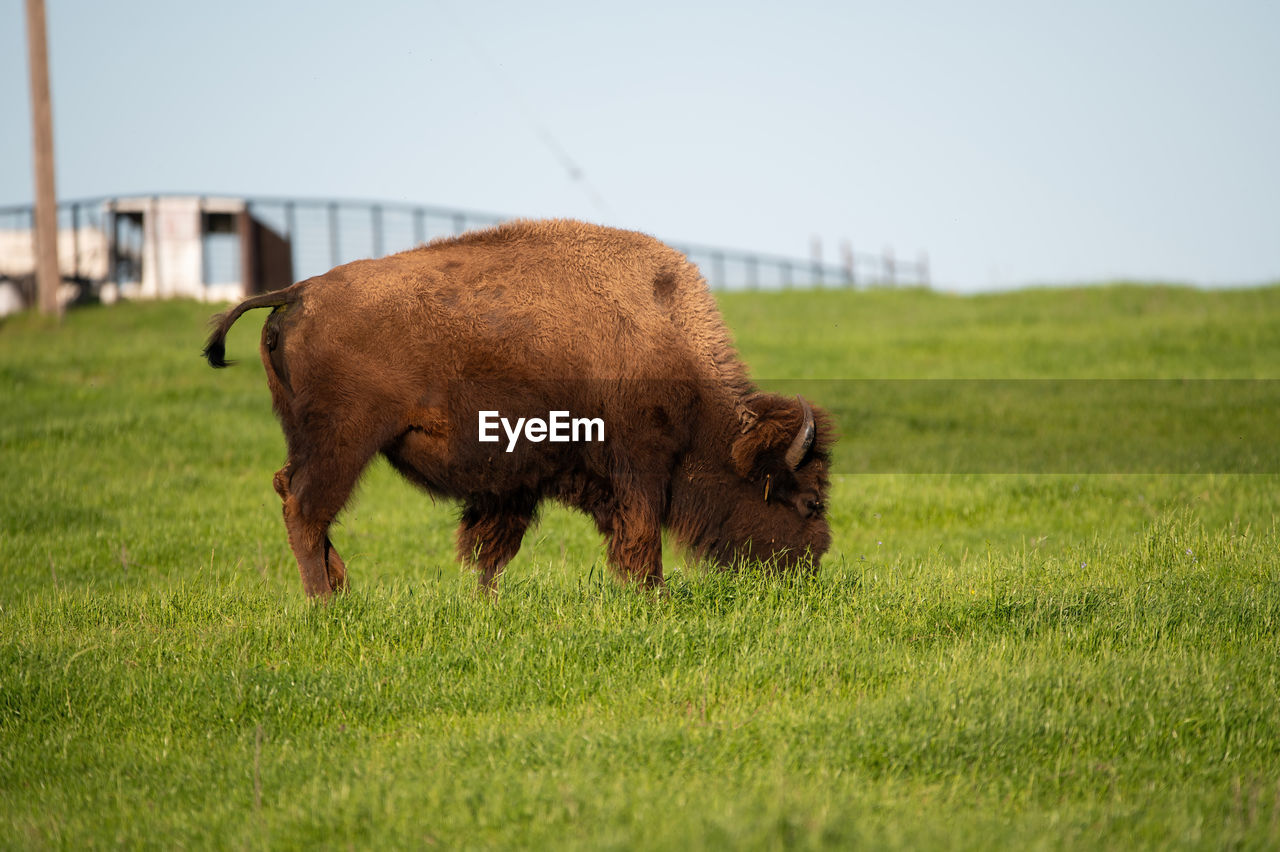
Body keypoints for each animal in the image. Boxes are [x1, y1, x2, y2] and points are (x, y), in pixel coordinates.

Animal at [204, 219, 834, 597]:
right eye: (807, 503)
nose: (812, 567)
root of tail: (299, 292)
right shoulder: (639, 470)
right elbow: (640, 539)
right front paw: (650, 596)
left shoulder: (514, 482)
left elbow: (492, 545)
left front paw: (483, 599)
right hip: (344, 441)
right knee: (307, 508)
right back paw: (326, 601)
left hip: (308, 437)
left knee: (294, 495)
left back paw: (339, 587)